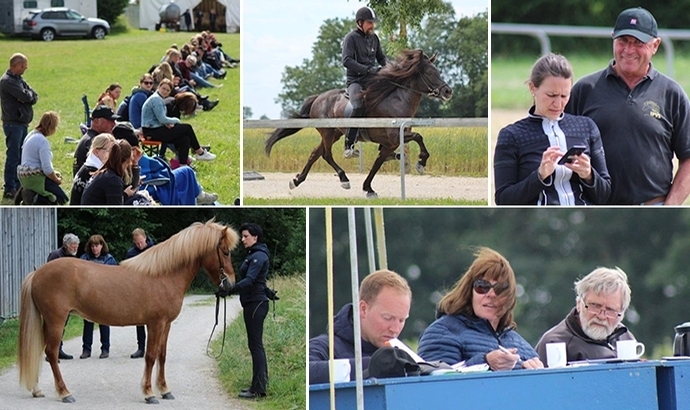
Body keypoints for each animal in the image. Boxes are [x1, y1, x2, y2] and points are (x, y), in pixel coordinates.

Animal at [18, 219, 239, 402]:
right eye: (225, 252)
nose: (229, 285)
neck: (164, 275)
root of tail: (37, 273)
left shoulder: (166, 325)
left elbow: (162, 356)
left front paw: (165, 390)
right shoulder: (156, 324)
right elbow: (150, 356)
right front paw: (149, 393)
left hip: (47, 322)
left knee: (40, 350)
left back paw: (37, 390)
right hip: (56, 321)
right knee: (51, 353)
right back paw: (65, 393)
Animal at [264, 49, 452, 199]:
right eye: (429, 73)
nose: (448, 91)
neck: (397, 101)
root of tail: (318, 98)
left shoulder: (390, 144)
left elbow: (378, 163)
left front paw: (368, 188)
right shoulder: (394, 137)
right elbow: (418, 137)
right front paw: (421, 163)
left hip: (335, 134)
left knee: (315, 153)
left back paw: (296, 180)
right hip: (327, 133)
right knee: (326, 155)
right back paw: (344, 178)